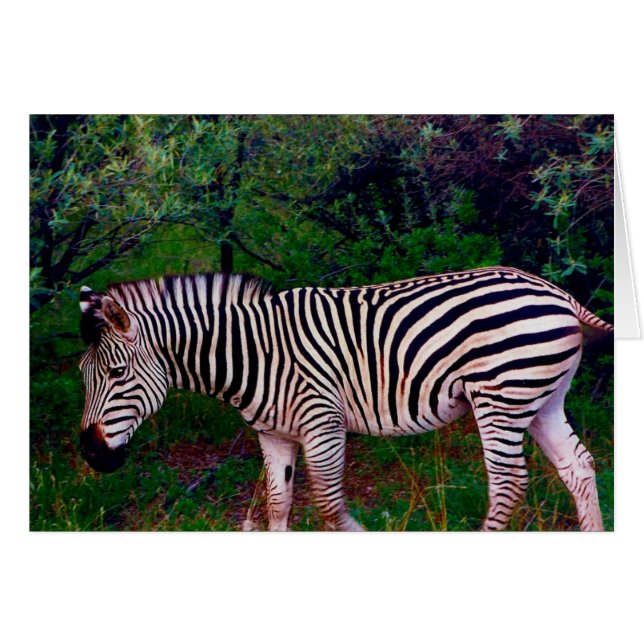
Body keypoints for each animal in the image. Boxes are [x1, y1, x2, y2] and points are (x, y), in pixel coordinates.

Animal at [78, 267, 613, 531]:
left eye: (118, 373)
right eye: (84, 376)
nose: (90, 454)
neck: (252, 352)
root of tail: (558, 293)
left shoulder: (323, 424)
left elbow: (331, 508)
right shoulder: (275, 435)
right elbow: (278, 507)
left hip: (500, 398)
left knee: (507, 484)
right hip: (541, 400)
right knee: (578, 468)